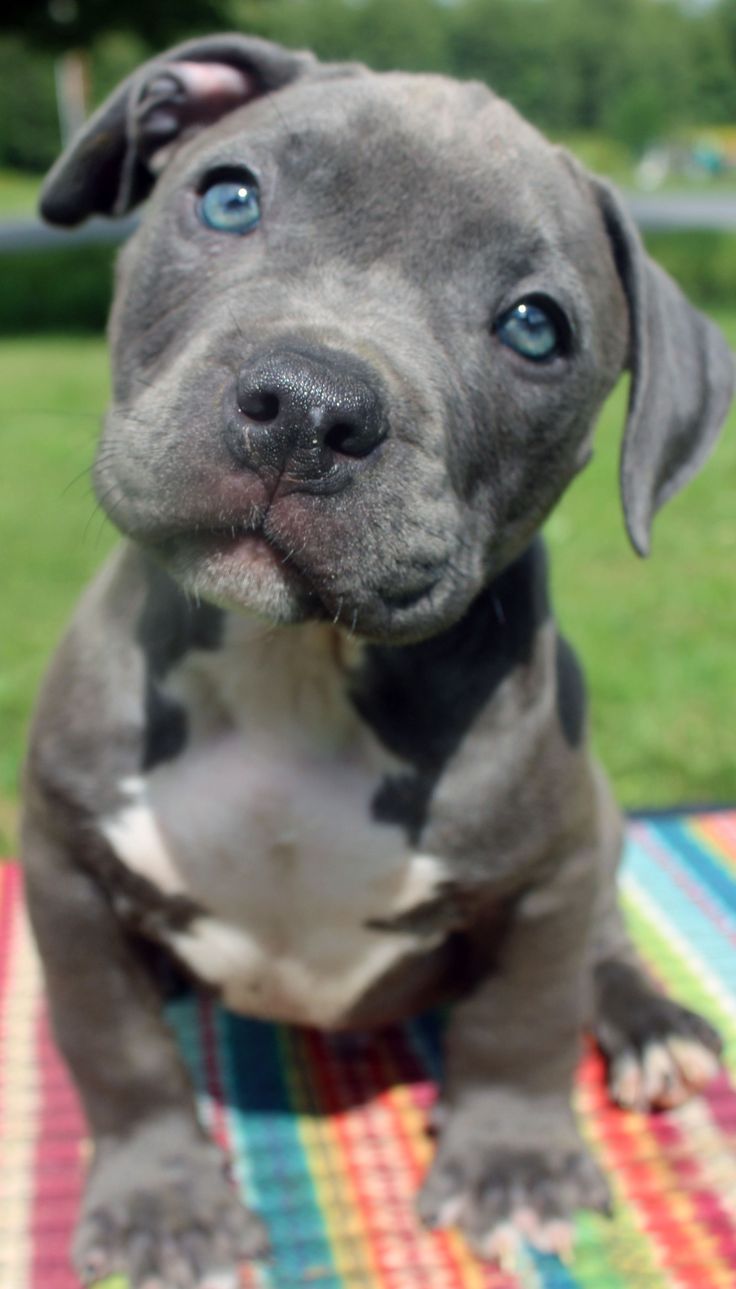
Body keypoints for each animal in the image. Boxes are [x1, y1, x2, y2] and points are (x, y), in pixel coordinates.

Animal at [25, 30, 732, 1289]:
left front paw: (511, 1168)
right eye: (229, 198)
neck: (293, 660)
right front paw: (165, 1207)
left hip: (599, 822)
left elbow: (520, 1022)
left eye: (535, 326)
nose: (311, 404)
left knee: (605, 944)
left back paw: (651, 1028)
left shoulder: (548, 867)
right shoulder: (63, 860)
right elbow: (115, 1043)